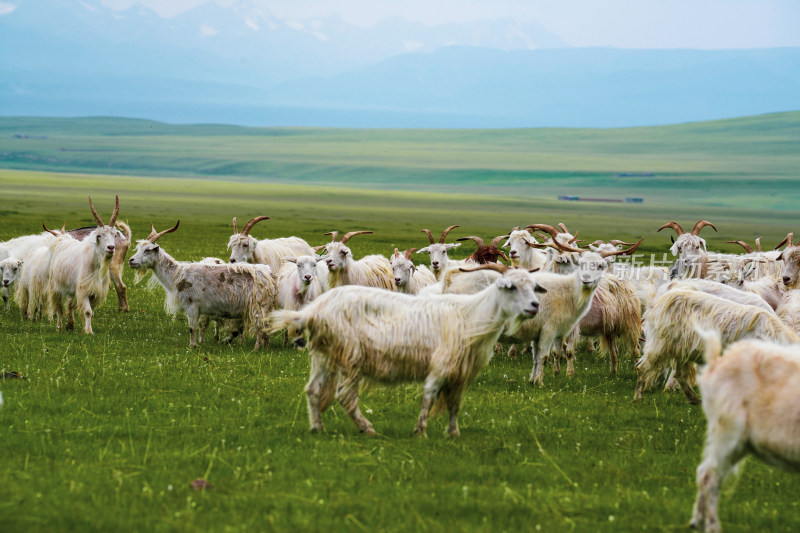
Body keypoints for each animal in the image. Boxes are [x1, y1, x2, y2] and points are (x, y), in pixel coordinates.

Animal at [130, 220, 280, 350]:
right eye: (138, 249)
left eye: (147, 250)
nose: (131, 261)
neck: (177, 274)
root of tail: (269, 274)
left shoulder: (192, 306)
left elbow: (192, 328)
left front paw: (192, 346)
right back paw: (265, 346)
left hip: (258, 306)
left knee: (261, 327)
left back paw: (256, 348)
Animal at [268, 262, 544, 436]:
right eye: (511, 287)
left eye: (533, 286)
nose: (535, 305)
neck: (473, 313)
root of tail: (314, 310)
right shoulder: (440, 365)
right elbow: (429, 397)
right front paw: (420, 431)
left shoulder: (460, 373)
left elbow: (454, 405)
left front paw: (453, 433)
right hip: (350, 356)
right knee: (345, 396)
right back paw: (367, 428)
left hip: (324, 355)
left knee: (313, 390)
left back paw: (318, 428)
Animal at [636, 286, 796, 404]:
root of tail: (655, 303)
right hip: (660, 344)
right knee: (642, 367)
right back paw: (638, 397)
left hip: (682, 350)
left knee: (680, 375)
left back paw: (694, 400)